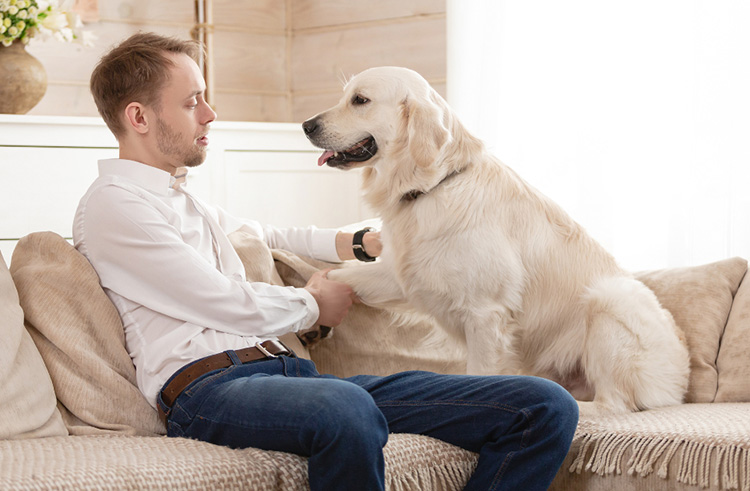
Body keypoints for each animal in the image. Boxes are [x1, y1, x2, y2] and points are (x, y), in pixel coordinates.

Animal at [302, 66, 692, 416]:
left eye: (360, 100)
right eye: (345, 96)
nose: (306, 125)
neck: (432, 186)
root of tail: (681, 381)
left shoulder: (485, 314)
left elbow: (481, 375)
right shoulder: (404, 276)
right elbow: (341, 276)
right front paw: (317, 302)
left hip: (610, 298)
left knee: (614, 404)